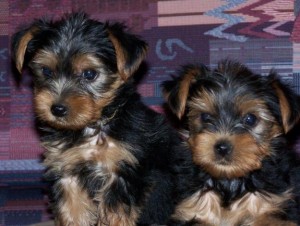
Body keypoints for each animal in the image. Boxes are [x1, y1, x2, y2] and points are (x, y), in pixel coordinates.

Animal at [11, 12, 191, 226]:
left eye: (89, 74)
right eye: (46, 71)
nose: (57, 109)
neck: (92, 127)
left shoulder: (121, 172)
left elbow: (116, 213)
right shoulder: (68, 171)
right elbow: (73, 210)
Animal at [163, 60, 300, 226]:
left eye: (250, 119)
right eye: (205, 117)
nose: (222, 147)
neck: (229, 181)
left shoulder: (274, 209)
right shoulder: (189, 211)